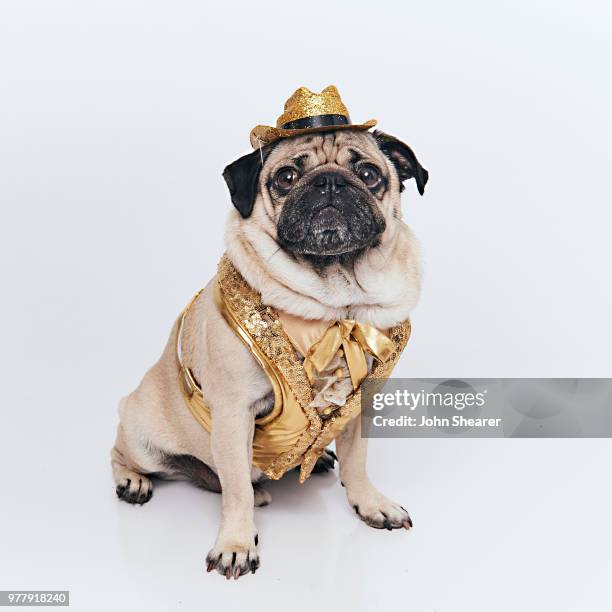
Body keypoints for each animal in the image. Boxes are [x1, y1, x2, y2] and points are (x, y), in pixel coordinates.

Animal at [111, 128, 426, 580]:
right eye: (287, 176)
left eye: (368, 174)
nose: (329, 182)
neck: (333, 304)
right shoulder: (233, 411)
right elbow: (238, 490)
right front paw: (236, 545)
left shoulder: (359, 405)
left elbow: (357, 462)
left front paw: (371, 503)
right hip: (140, 431)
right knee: (133, 456)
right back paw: (133, 481)